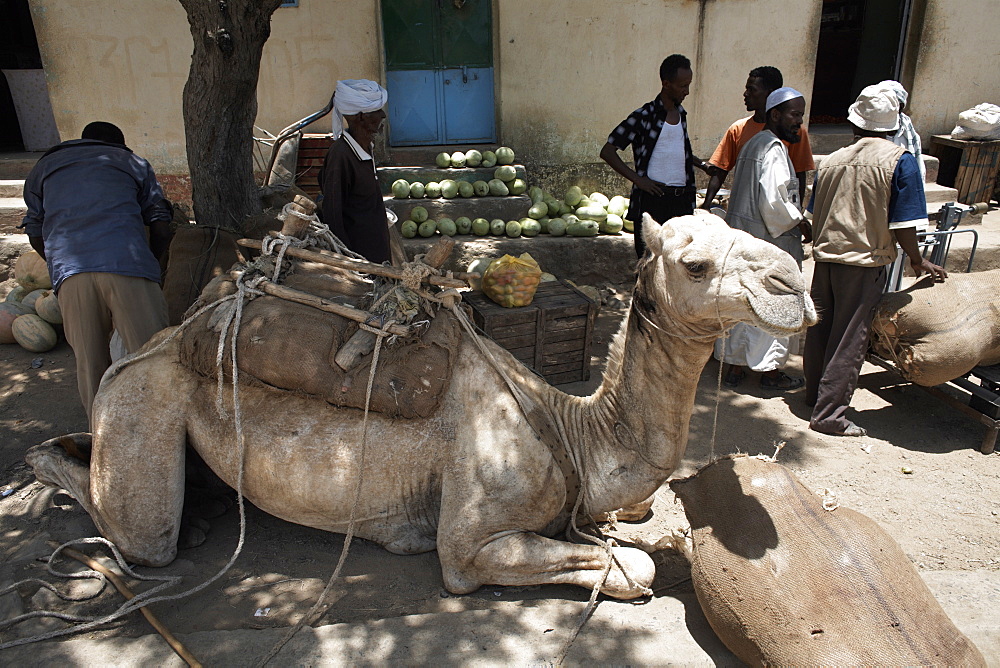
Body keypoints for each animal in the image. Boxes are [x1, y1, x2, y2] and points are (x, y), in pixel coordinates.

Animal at [29, 214, 812, 600]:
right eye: (695, 265)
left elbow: (629, 540)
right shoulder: (470, 543)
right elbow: (632, 572)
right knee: (138, 530)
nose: (794, 283)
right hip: (141, 406)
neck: (569, 429)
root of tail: (155, 343)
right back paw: (52, 476)